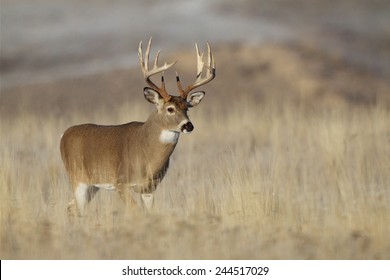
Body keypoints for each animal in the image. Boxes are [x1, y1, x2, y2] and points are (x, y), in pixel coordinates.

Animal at [59, 38, 215, 214]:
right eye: (170, 109)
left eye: (187, 108)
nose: (188, 125)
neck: (146, 154)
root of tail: (64, 134)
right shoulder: (120, 182)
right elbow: (135, 211)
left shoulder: (149, 188)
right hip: (77, 178)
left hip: (92, 185)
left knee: (70, 207)